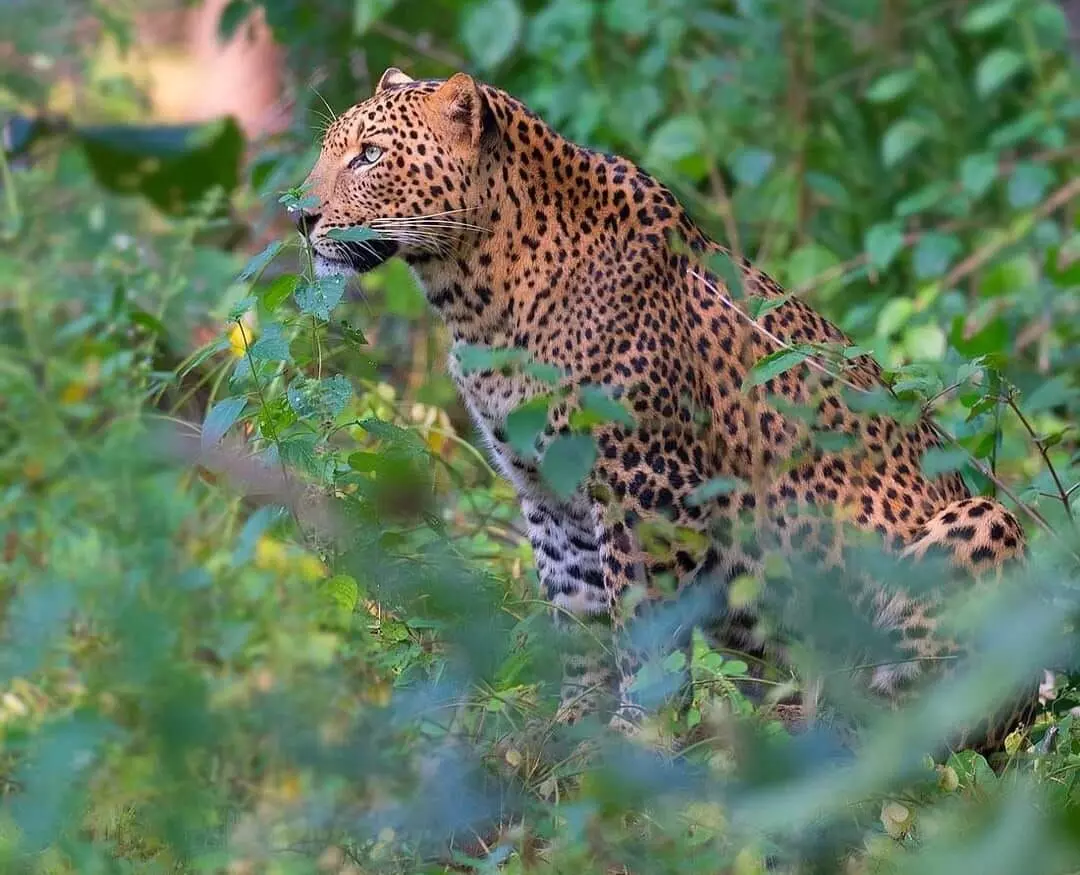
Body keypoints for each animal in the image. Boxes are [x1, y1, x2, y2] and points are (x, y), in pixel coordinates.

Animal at [293, 66, 1036, 751]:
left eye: (370, 156)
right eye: (330, 150)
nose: (299, 216)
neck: (474, 296)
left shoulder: (648, 489)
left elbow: (641, 622)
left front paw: (637, 735)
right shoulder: (552, 495)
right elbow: (580, 616)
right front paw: (569, 735)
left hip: (984, 527)